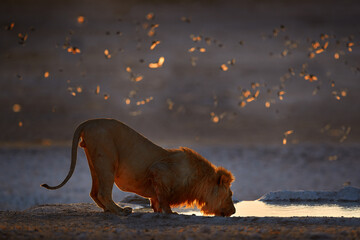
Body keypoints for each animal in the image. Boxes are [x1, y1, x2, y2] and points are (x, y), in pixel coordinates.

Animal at [40, 119, 236, 217]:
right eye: (230, 195)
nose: (234, 211)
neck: (199, 181)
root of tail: (88, 123)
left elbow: (156, 199)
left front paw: (157, 210)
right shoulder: (159, 170)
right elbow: (164, 198)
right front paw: (171, 212)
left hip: (94, 162)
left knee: (94, 192)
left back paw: (108, 210)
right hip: (107, 159)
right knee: (103, 192)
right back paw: (121, 211)